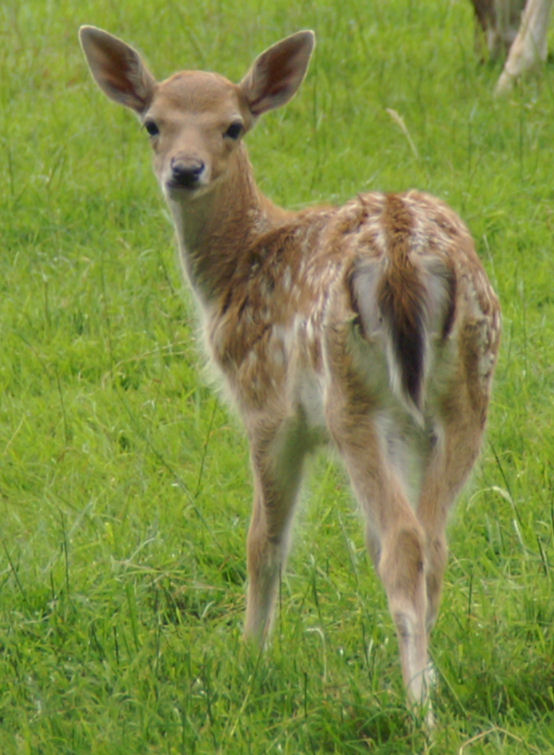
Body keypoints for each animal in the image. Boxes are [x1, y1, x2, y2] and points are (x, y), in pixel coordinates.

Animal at [79, 25, 501, 718]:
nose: (184, 169)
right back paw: (426, 681)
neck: (236, 266)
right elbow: (375, 537)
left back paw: (419, 711)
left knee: (404, 543)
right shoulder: (410, 430)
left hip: (351, 399)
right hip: (466, 394)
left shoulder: (267, 406)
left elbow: (264, 542)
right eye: (152, 124)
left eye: (233, 126)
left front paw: (251, 656)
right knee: (431, 541)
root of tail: (405, 257)